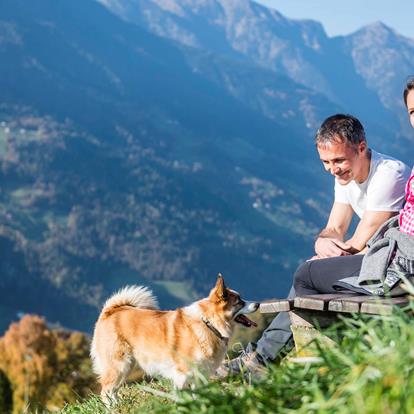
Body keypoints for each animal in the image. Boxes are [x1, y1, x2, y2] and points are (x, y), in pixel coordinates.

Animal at [90, 274, 258, 402]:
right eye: (239, 302)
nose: (257, 304)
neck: (208, 323)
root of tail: (110, 311)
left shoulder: (198, 375)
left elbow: (197, 394)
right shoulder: (182, 374)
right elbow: (181, 395)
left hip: (126, 366)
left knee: (112, 391)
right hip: (119, 365)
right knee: (106, 392)